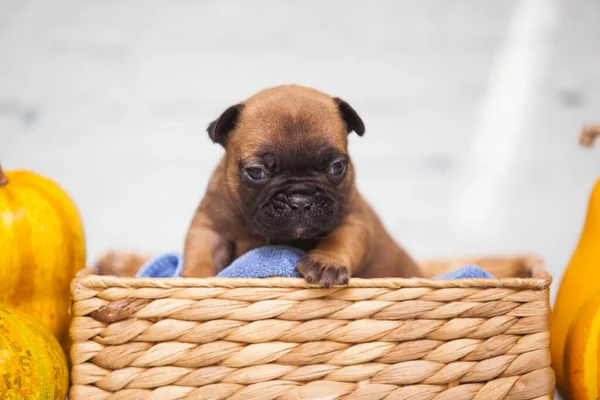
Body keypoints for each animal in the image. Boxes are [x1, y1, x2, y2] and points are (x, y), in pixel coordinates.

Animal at [183, 84, 422, 286]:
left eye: (336, 167)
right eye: (256, 172)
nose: (300, 200)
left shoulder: (353, 220)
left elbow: (339, 240)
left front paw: (325, 262)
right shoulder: (210, 227)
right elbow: (201, 254)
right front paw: (194, 280)